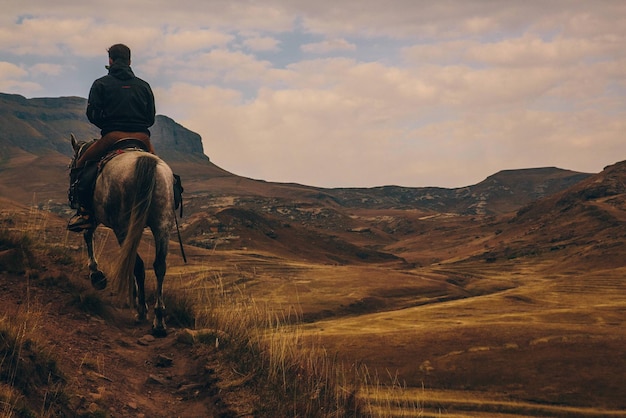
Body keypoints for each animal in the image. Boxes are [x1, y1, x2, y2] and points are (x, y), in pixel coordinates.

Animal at [69, 134, 174, 336]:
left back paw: (141, 310)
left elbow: (88, 235)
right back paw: (158, 321)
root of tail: (147, 163)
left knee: (136, 263)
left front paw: (96, 275)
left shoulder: (93, 216)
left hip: (123, 226)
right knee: (159, 266)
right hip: (162, 225)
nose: (71, 196)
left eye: (71, 168)